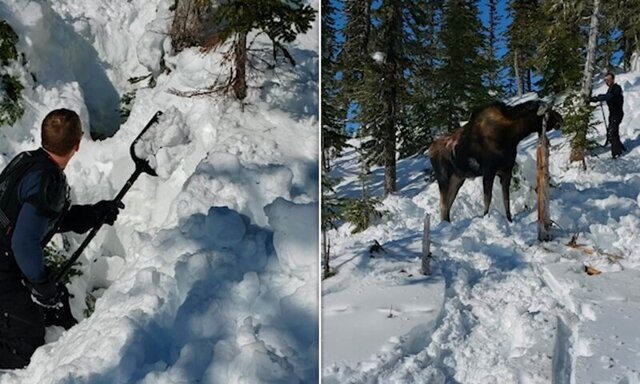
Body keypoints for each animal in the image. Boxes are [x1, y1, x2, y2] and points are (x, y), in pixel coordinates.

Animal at [430, 100, 560, 222]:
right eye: (547, 111)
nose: (560, 118)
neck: (513, 136)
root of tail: (430, 150)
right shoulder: (489, 171)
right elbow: (487, 198)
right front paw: (485, 217)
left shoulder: (506, 170)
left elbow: (506, 198)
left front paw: (509, 220)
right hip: (443, 177)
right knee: (443, 204)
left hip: (458, 178)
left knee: (448, 203)